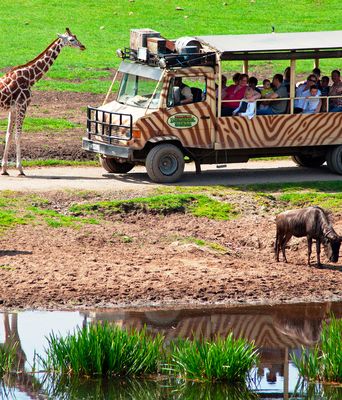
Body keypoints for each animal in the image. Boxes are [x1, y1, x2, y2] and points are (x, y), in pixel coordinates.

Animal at [0, 27, 85, 175]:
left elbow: (8, 135)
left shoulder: (13, 108)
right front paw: (20, 168)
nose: (82, 46)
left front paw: (4, 169)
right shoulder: (23, 105)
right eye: (71, 39)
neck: (30, 77)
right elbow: (18, 135)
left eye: (76, 36)